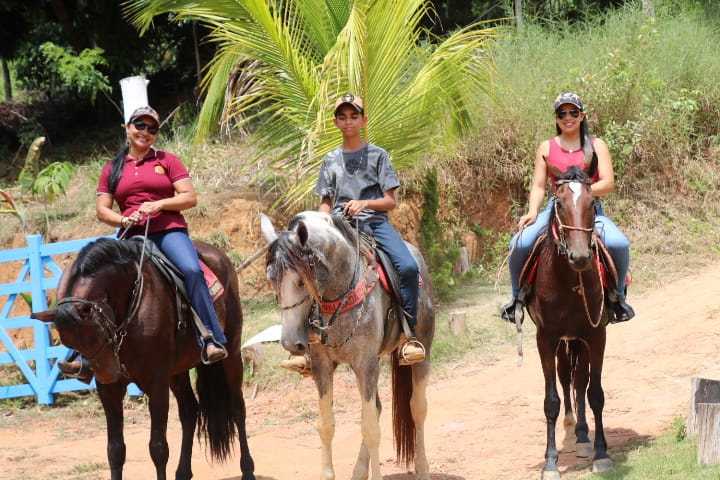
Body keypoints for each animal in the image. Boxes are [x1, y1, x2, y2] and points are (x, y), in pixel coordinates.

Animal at [31, 237, 256, 480]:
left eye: (96, 334)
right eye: (70, 342)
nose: (110, 373)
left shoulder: (156, 382)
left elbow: (158, 448)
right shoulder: (109, 389)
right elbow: (115, 450)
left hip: (231, 352)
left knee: (237, 407)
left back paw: (247, 469)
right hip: (177, 371)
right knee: (189, 411)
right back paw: (183, 472)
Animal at [262, 212, 436, 478]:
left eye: (301, 281)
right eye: (271, 279)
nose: (291, 342)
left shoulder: (366, 363)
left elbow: (371, 429)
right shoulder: (323, 366)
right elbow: (326, 425)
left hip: (421, 351)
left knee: (417, 408)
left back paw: (422, 469)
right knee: (378, 408)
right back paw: (359, 472)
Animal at [516, 166, 612, 480]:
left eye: (592, 204)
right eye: (558, 204)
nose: (580, 256)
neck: (569, 280)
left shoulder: (596, 335)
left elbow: (595, 393)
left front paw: (601, 454)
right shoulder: (546, 339)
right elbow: (552, 401)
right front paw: (550, 462)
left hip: (579, 339)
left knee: (579, 381)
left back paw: (582, 438)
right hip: (563, 342)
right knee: (566, 378)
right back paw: (571, 435)